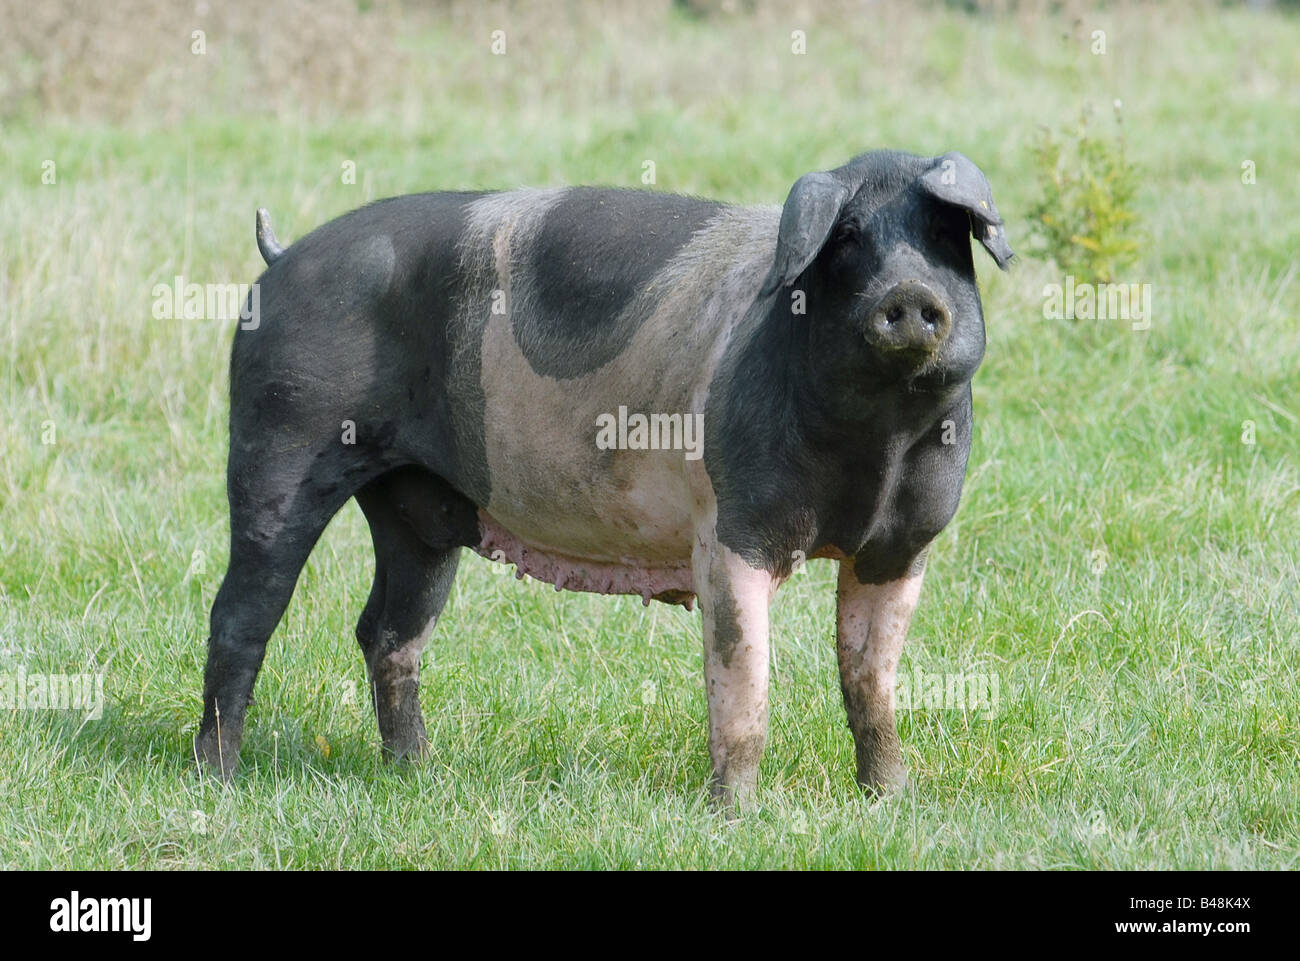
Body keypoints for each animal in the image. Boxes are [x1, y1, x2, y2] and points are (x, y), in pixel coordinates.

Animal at [197, 150, 1008, 806]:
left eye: (944, 237)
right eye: (847, 241)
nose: (909, 294)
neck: (877, 446)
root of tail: (281, 259)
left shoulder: (902, 547)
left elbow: (870, 682)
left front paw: (892, 799)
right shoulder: (733, 530)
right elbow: (745, 677)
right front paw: (738, 815)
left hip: (414, 504)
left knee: (388, 630)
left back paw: (417, 770)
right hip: (280, 438)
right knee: (241, 614)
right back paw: (221, 778)